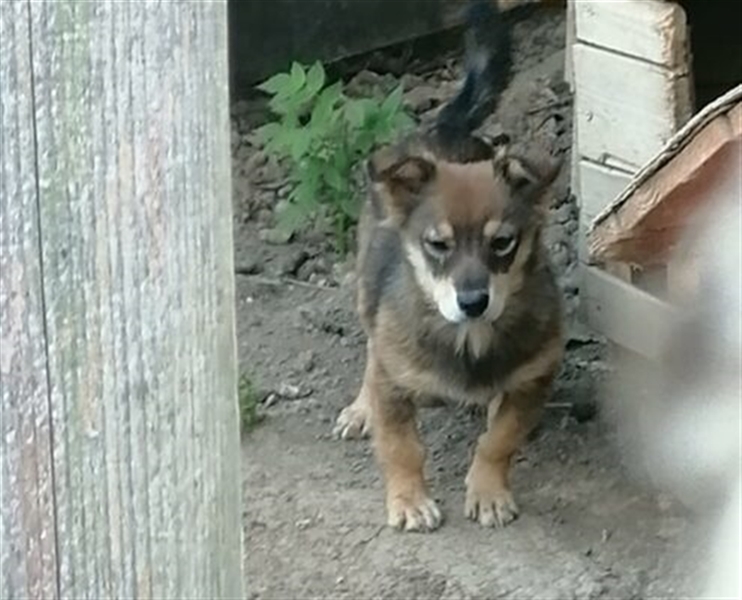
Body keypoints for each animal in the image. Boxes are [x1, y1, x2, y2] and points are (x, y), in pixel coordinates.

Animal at [333, 0, 564, 532]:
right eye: (438, 244)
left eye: (503, 242)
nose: (473, 302)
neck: (469, 341)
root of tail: (444, 129)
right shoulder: (394, 383)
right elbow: (401, 447)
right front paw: (409, 501)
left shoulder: (533, 378)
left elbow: (499, 440)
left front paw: (489, 493)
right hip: (366, 296)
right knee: (370, 351)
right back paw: (359, 410)